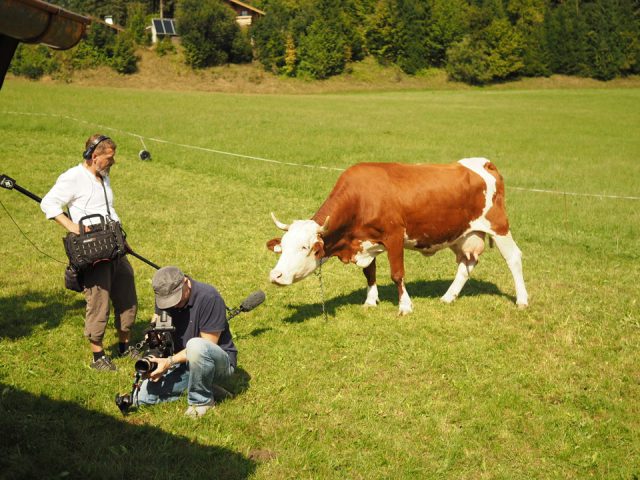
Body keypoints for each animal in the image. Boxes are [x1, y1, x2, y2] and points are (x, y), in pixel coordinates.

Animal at [266, 158, 528, 316]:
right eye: (283, 247)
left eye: (305, 247)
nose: (275, 275)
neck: (362, 198)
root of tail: (483, 162)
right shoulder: (366, 241)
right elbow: (369, 272)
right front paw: (370, 300)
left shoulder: (393, 236)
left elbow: (397, 274)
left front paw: (405, 306)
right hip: (460, 234)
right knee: (467, 263)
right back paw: (448, 297)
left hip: (498, 226)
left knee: (513, 258)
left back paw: (522, 300)